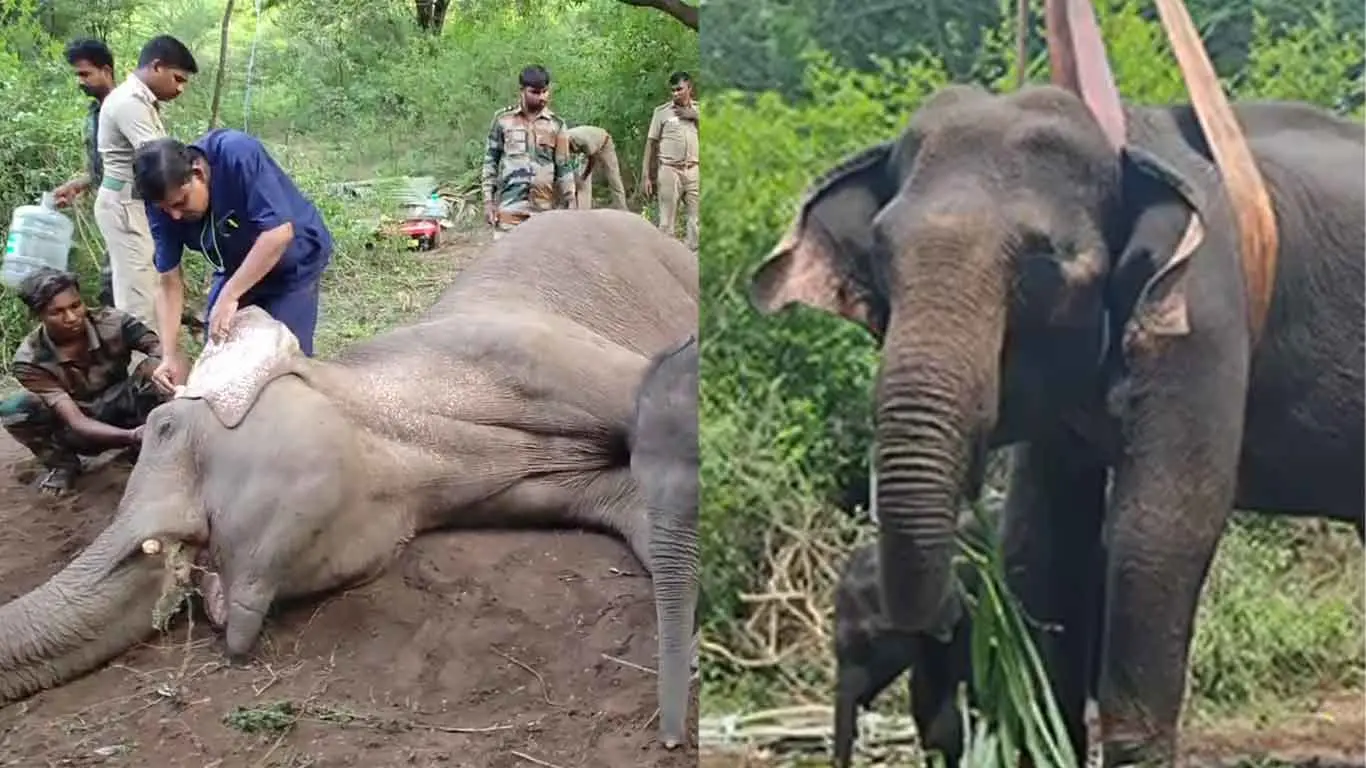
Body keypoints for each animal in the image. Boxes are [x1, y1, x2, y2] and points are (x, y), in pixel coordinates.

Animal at [748, 0, 1363, 762]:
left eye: (1043, 264)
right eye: (879, 255)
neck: (1128, 139)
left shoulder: (1206, 308)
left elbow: (1161, 524)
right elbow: (1044, 536)